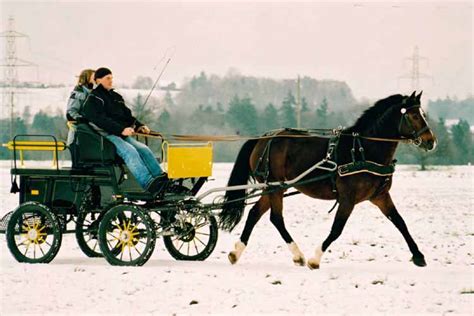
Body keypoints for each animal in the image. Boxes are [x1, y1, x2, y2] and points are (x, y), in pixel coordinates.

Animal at [218, 90, 436, 270]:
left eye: (423, 114)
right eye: (414, 115)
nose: (431, 141)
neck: (362, 150)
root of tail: (263, 138)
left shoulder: (380, 196)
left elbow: (400, 222)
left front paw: (419, 256)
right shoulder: (348, 198)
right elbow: (337, 228)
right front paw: (315, 259)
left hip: (272, 188)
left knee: (255, 214)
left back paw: (236, 253)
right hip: (276, 187)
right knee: (276, 218)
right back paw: (298, 255)